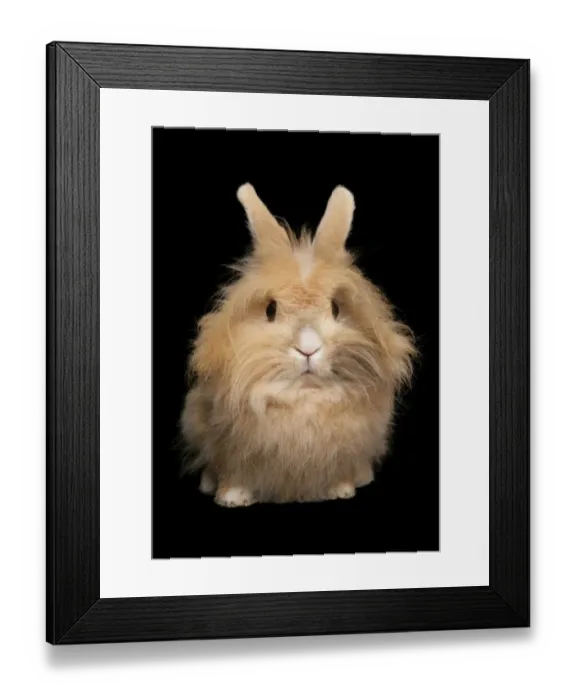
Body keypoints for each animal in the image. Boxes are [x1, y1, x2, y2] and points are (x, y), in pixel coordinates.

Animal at [179, 183, 417, 507]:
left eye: (335, 308)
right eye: (270, 310)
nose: (308, 347)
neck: (303, 401)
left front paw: (340, 490)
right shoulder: (227, 442)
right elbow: (234, 473)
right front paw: (231, 497)